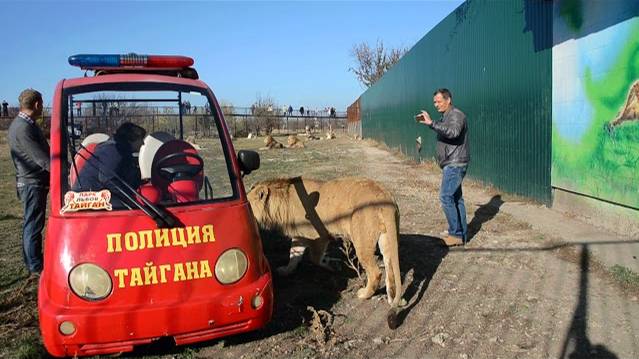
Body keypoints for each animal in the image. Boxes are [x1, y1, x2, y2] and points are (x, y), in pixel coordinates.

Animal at [248, 177, 402, 330]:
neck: (284, 200)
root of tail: (387, 198)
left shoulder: (319, 236)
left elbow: (314, 257)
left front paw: (333, 265)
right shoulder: (300, 236)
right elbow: (293, 255)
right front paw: (286, 270)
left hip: (362, 240)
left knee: (376, 273)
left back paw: (364, 294)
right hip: (386, 238)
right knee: (390, 269)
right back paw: (392, 297)